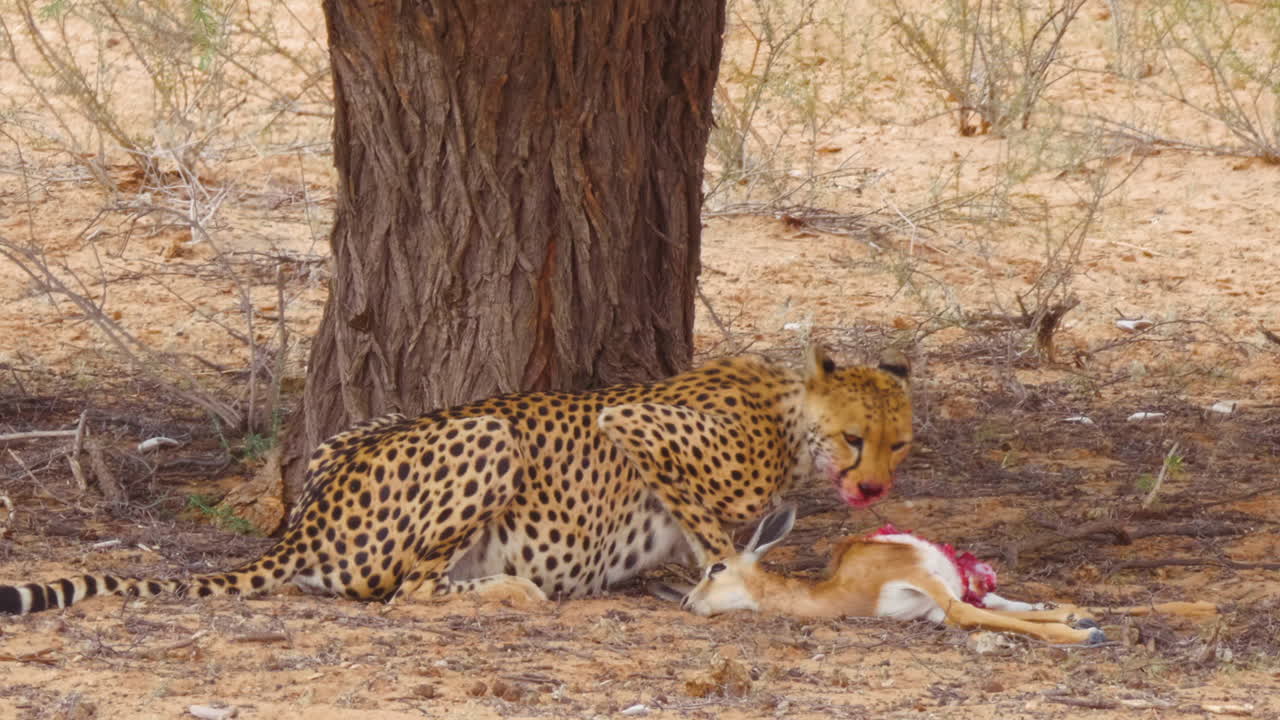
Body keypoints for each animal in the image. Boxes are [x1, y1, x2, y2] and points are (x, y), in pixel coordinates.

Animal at [0, 345, 912, 615]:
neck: (790, 415)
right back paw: (515, 590)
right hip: (491, 431)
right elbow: (714, 531)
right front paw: (733, 575)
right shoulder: (635, 423)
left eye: (899, 445)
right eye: (854, 439)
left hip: (363, 426)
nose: (873, 492)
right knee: (408, 592)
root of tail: (305, 520)